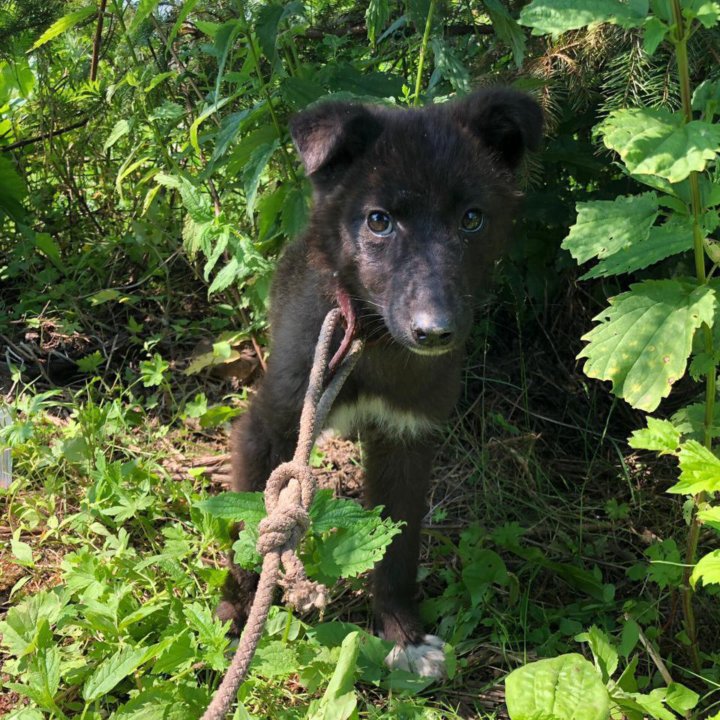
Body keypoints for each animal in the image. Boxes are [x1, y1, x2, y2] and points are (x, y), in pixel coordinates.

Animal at [219, 87, 540, 676]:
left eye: (472, 219)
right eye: (378, 221)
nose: (434, 332)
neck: (372, 340)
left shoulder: (408, 438)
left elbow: (397, 542)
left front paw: (402, 634)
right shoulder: (270, 425)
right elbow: (252, 526)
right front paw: (239, 612)